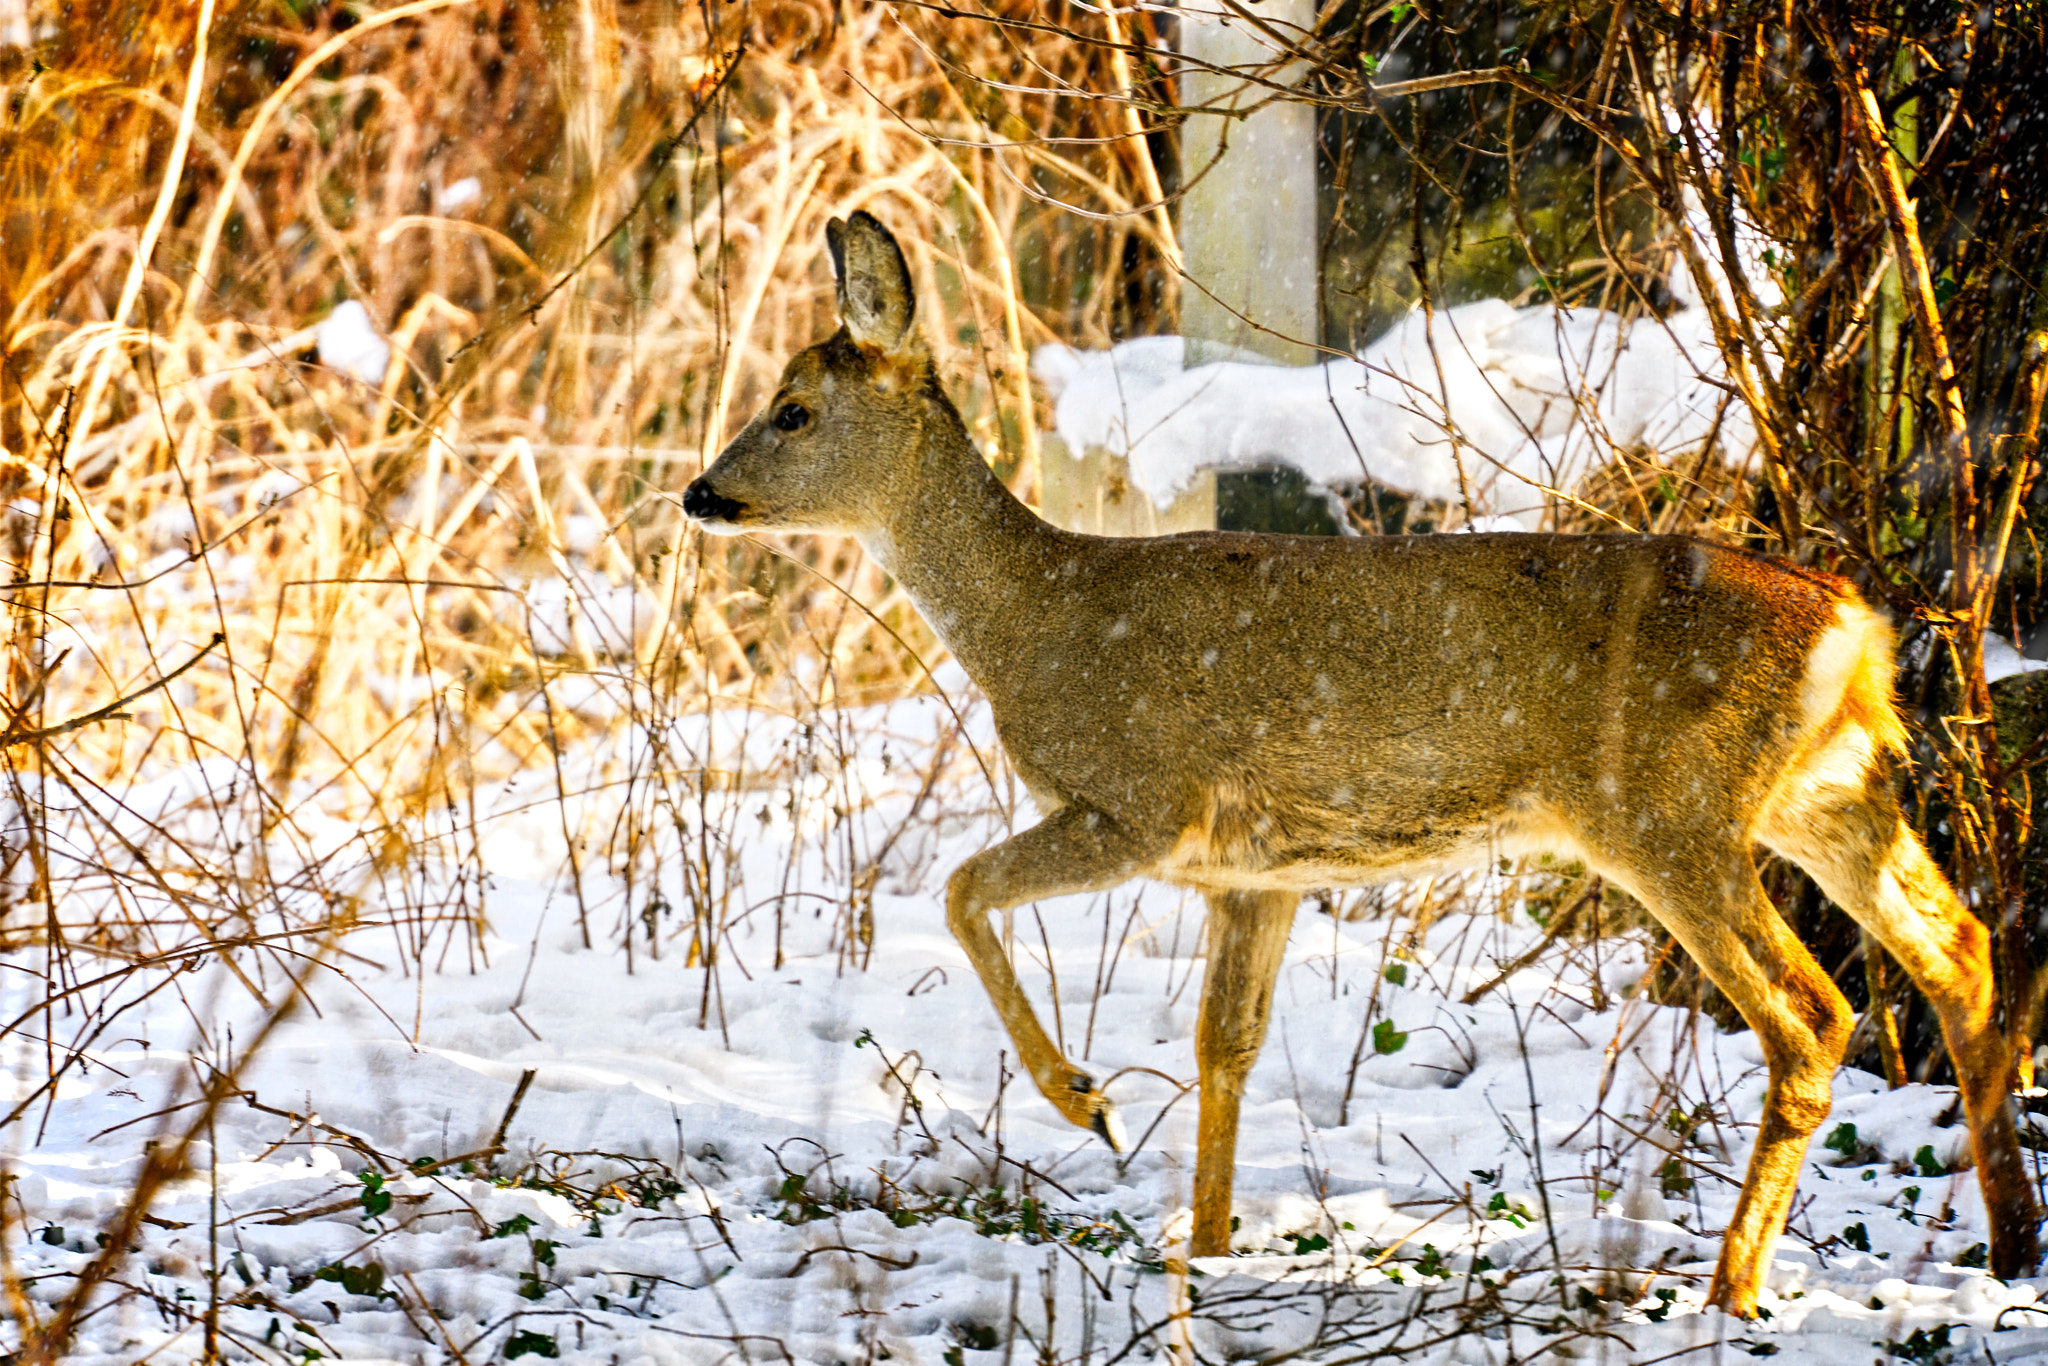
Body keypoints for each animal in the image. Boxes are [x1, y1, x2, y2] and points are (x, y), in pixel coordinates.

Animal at [684, 210, 2031, 1310]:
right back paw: (2007, 1245)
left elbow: (959, 889)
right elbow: (1223, 1045)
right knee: (1960, 952)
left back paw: (1733, 1287)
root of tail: (1855, 629)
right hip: (1824, 793)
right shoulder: (1254, 869)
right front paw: (1208, 1244)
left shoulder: (1140, 799)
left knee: (1812, 1012)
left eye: (793, 409)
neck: (1038, 617)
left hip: (1665, 809)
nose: (700, 493)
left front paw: (1086, 1099)